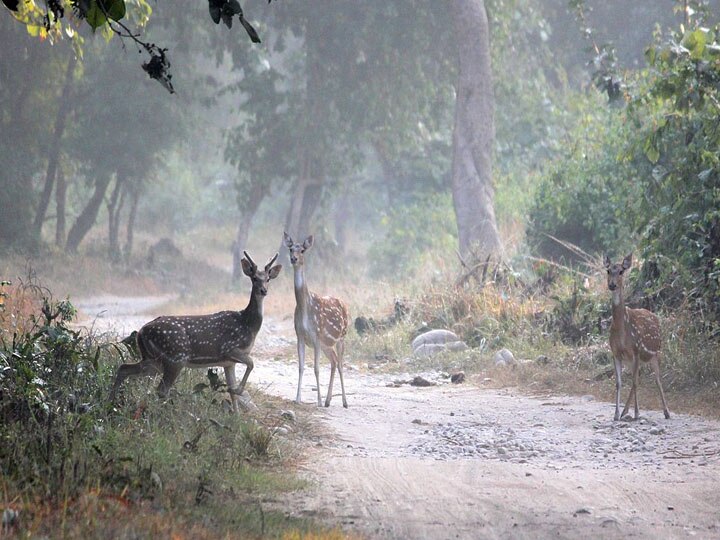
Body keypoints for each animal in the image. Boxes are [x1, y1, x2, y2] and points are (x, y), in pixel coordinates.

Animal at [109, 251, 282, 412]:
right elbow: (251, 363)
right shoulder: (229, 348)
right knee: (161, 390)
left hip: (153, 360)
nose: (263, 290)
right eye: (254, 278)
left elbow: (233, 391)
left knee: (124, 368)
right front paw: (238, 391)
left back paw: (112, 403)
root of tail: (140, 333)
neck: (247, 325)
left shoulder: (229, 362)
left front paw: (236, 415)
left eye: (268, 279)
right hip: (175, 357)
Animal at [282, 233, 350, 410]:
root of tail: (344, 304)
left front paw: (318, 401)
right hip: (327, 345)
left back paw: (344, 402)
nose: (293, 258)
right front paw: (297, 399)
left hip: (342, 336)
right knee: (334, 361)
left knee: (341, 364)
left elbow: (316, 369)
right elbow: (301, 367)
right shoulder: (299, 336)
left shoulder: (316, 336)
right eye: (290, 249)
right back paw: (328, 401)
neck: (305, 307)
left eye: (303, 250)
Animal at [604, 253, 672, 422]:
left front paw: (636, 413)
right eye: (608, 270)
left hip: (655, 353)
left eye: (621, 271)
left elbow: (634, 382)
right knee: (639, 378)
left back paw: (666, 412)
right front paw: (616, 414)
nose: (612, 285)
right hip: (635, 359)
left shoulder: (635, 349)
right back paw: (624, 412)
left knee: (657, 379)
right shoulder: (616, 352)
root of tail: (654, 316)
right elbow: (619, 383)